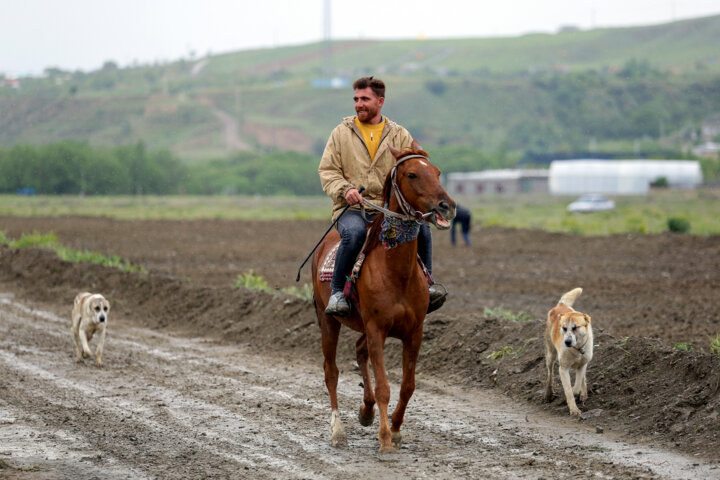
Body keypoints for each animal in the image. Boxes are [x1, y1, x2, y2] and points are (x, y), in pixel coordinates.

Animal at [310, 141, 456, 452]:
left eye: (437, 172)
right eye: (412, 174)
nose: (446, 206)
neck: (396, 272)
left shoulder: (414, 332)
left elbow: (408, 386)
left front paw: (397, 429)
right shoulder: (377, 330)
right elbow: (383, 387)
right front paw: (386, 438)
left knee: (359, 351)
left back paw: (366, 411)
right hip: (328, 321)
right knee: (331, 371)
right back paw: (338, 431)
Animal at [544, 286, 592, 414]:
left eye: (575, 327)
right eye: (564, 328)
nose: (567, 342)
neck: (577, 349)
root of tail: (561, 305)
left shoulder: (582, 365)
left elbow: (577, 384)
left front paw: (579, 393)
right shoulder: (563, 369)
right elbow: (569, 391)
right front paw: (574, 410)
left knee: (583, 378)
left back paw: (584, 394)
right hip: (551, 354)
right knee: (550, 374)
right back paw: (548, 394)